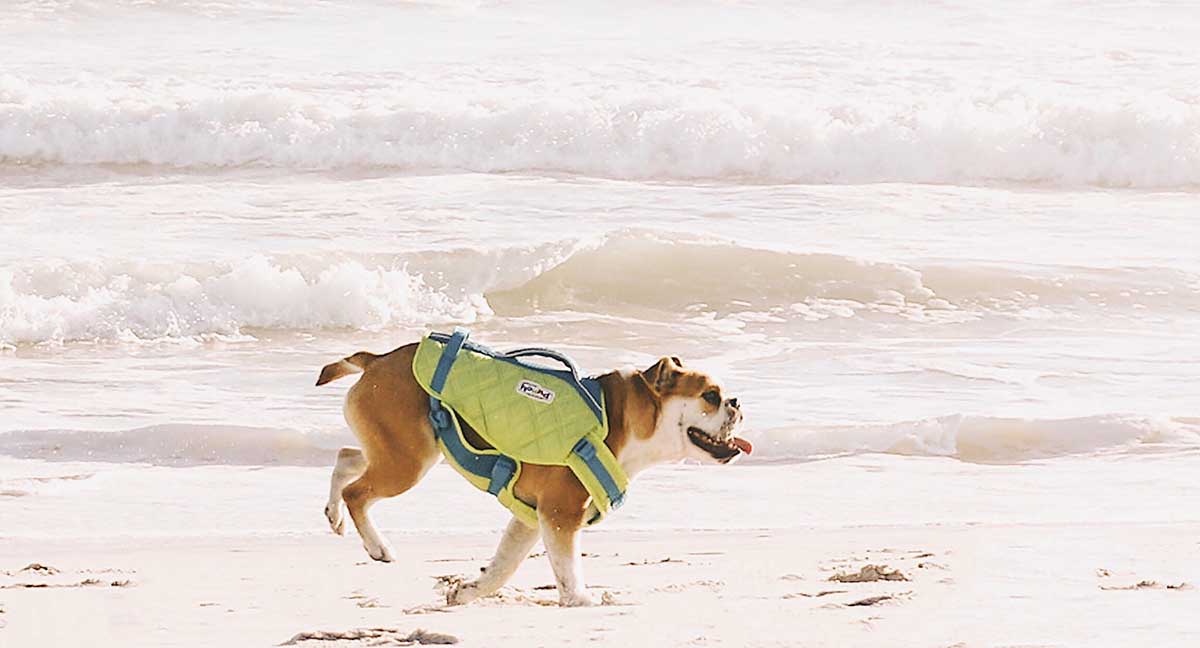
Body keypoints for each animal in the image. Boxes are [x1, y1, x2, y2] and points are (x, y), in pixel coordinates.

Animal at [319, 343, 748, 607]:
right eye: (711, 396)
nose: (737, 402)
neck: (624, 421)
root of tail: (376, 358)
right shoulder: (559, 514)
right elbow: (567, 569)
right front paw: (582, 601)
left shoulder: (528, 519)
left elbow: (502, 566)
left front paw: (468, 592)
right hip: (408, 463)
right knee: (358, 492)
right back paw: (378, 547)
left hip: (401, 452)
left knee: (347, 458)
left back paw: (334, 515)